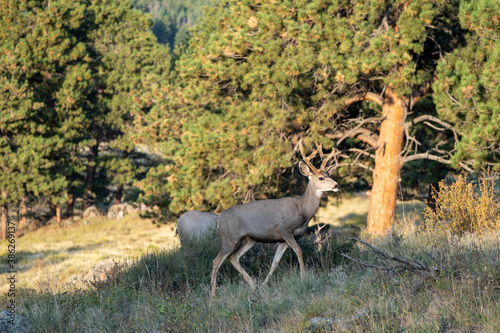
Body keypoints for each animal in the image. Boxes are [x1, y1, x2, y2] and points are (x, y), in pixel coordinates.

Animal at [211, 143, 340, 296]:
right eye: (321, 178)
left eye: (329, 175)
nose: (336, 185)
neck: (303, 209)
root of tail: (219, 219)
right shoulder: (284, 228)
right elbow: (299, 250)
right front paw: (304, 277)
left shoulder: (282, 240)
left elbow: (275, 262)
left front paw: (264, 285)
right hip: (229, 238)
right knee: (216, 261)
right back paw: (212, 295)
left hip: (249, 239)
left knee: (233, 257)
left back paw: (253, 285)